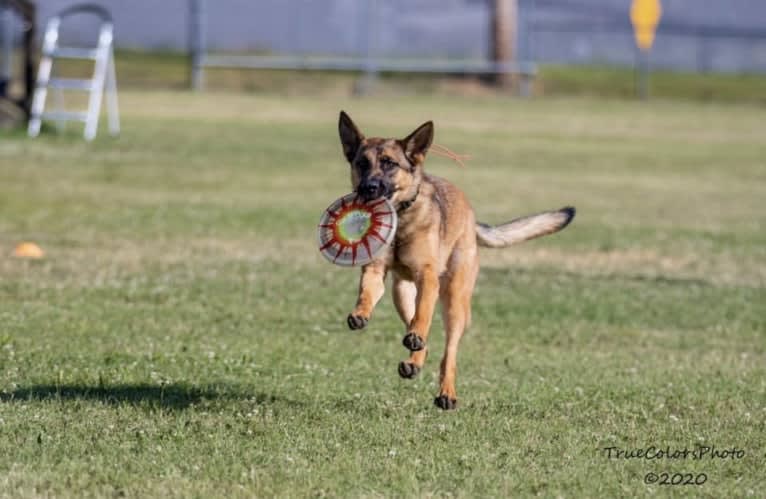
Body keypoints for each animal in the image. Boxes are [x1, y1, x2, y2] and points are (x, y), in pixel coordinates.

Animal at [338, 112, 576, 410]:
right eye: (362, 163)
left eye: (389, 164)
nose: (367, 188)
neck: (400, 219)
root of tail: (471, 217)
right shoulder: (375, 269)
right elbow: (367, 294)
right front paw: (360, 314)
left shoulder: (428, 278)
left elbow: (424, 316)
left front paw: (416, 335)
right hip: (401, 293)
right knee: (419, 331)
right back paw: (414, 361)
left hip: (455, 300)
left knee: (447, 350)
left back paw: (446, 392)